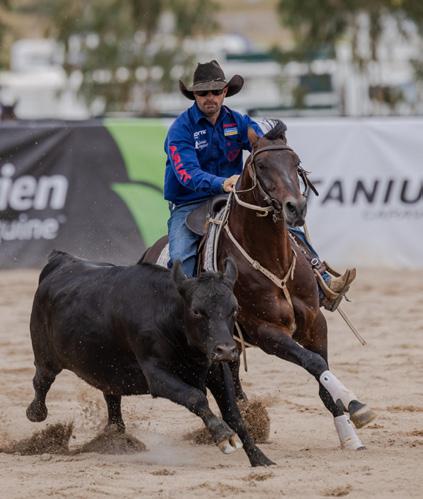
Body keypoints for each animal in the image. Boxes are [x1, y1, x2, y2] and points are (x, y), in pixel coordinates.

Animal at [26, 250, 273, 467]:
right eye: (196, 311)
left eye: (235, 308)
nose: (226, 350)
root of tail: (62, 261)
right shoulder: (157, 376)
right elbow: (196, 397)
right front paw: (222, 434)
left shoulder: (217, 371)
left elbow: (234, 413)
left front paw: (260, 458)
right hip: (46, 356)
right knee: (41, 381)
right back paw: (36, 413)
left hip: (107, 367)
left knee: (111, 396)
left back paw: (116, 435)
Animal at [143, 120, 376, 450]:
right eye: (262, 165)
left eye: (296, 162)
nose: (296, 207)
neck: (272, 261)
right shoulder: (265, 332)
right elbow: (314, 362)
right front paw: (355, 403)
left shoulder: (315, 322)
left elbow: (322, 373)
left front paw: (350, 433)